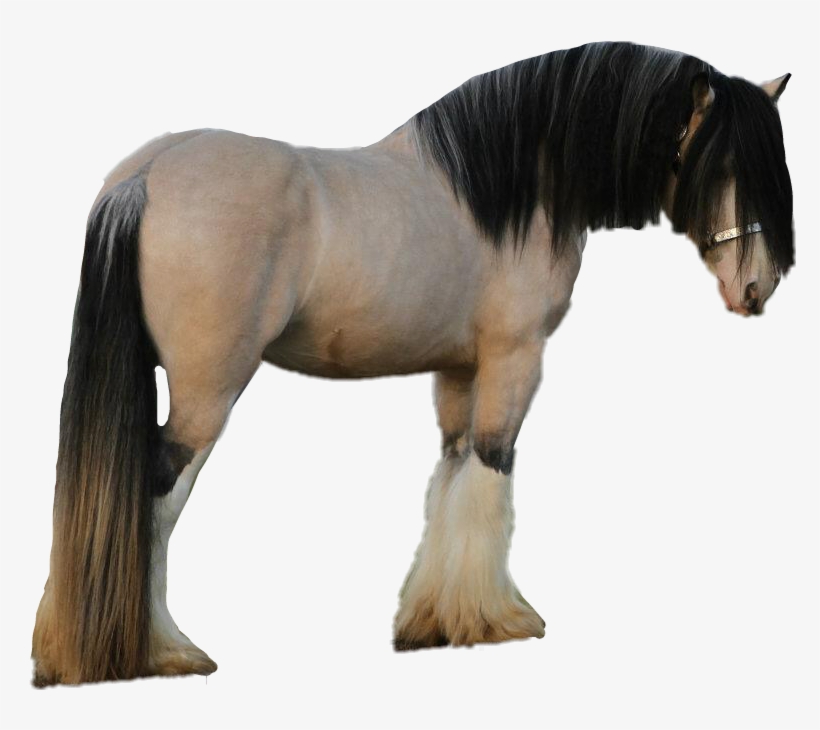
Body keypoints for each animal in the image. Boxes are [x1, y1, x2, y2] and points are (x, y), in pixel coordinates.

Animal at [31, 41, 793, 686]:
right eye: (724, 164)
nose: (757, 288)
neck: (511, 190)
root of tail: (147, 174)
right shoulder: (514, 360)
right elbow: (491, 471)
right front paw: (498, 619)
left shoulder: (457, 370)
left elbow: (451, 478)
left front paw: (434, 621)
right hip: (205, 393)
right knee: (156, 498)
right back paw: (165, 650)